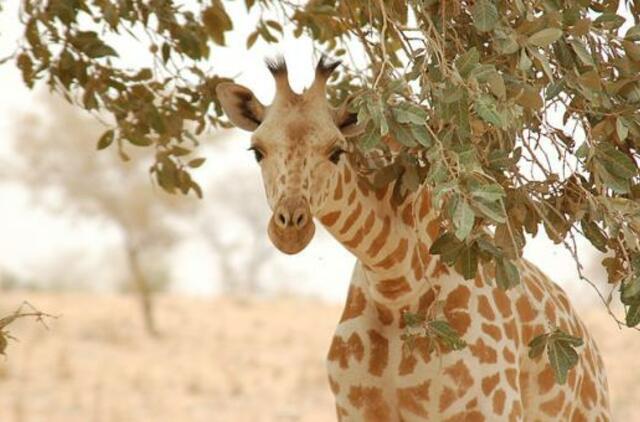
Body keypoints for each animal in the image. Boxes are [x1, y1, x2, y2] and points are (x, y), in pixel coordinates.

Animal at [218, 56, 612, 422]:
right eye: (257, 151)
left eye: (336, 151)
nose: (290, 228)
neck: (396, 286)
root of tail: (590, 348)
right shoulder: (355, 410)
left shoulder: (491, 410)